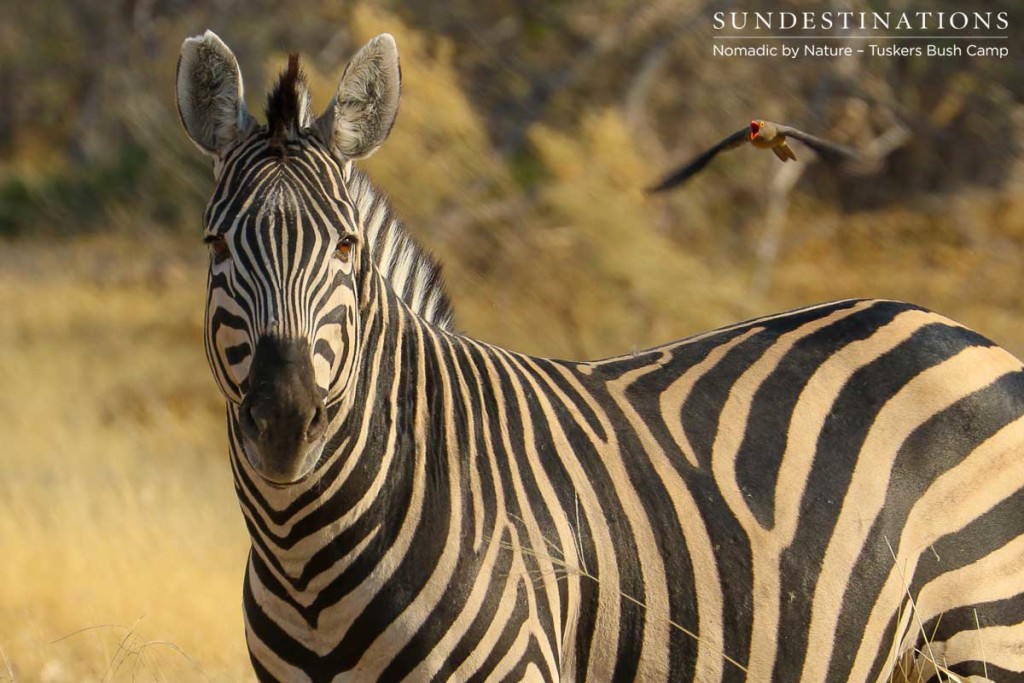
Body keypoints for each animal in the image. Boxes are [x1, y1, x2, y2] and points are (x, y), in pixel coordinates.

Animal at [178, 30, 1024, 683]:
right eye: (214, 245)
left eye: (347, 248)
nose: (286, 421)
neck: (304, 554)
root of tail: (953, 328)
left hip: (987, 629)